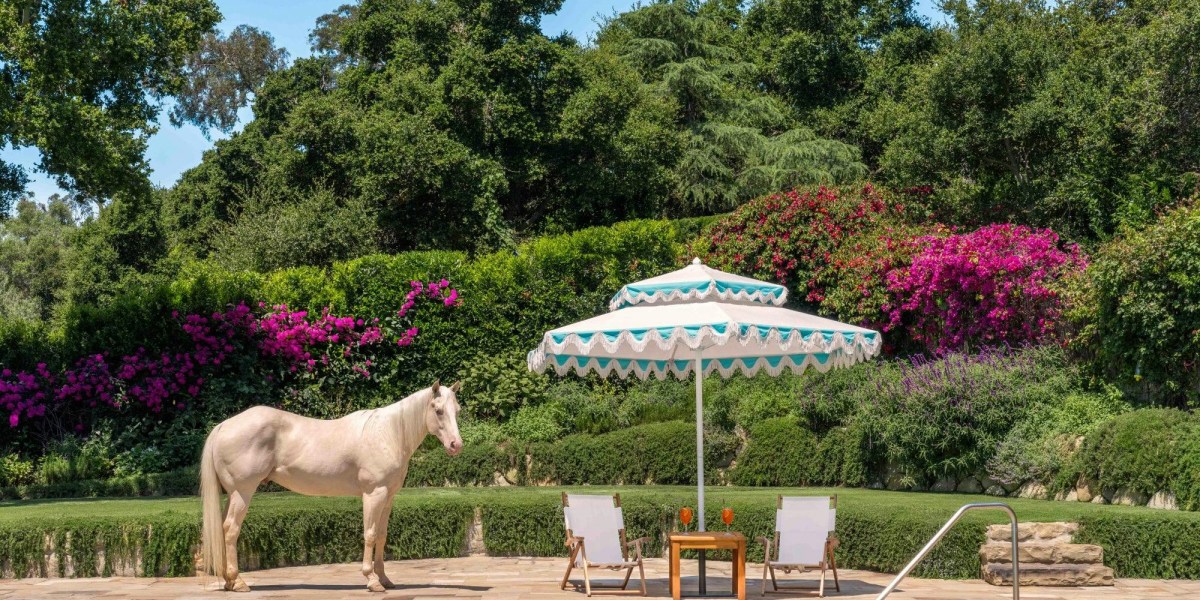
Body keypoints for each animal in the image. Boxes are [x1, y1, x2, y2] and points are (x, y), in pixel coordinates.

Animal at [199, 380, 463, 592]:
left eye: (457, 410)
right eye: (438, 410)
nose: (456, 445)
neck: (388, 433)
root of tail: (223, 426)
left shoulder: (388, 497)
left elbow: (381, 535)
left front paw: (385, 579)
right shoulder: (373, 494)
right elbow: (369, 534)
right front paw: (372, 580)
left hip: (232, 494)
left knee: (222, 528)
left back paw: (229, 581)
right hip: (242, 493)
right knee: (231, 529)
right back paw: (238, 582)